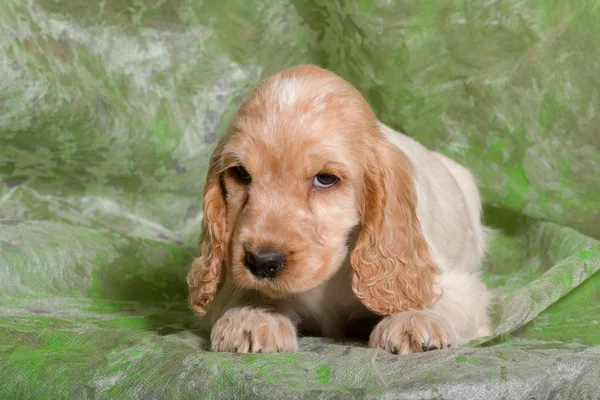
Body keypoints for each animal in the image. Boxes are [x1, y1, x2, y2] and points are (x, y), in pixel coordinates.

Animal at [188, 66, 492, 356]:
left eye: (325, 179)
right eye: (241, 173)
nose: (262, 262)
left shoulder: (458, 285)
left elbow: (428, 294)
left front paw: (413, 319)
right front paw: (251, 316)